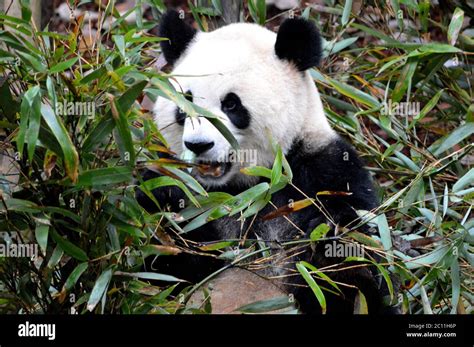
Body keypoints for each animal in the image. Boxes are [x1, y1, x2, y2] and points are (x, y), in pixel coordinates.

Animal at [137, 10, 396, 316]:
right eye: (185, 102)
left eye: (231, 104)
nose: (198, 144)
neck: (255, 183)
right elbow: (164, 267)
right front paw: (166, 200)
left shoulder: (325, 171)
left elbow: (352, 271)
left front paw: (327, 235)